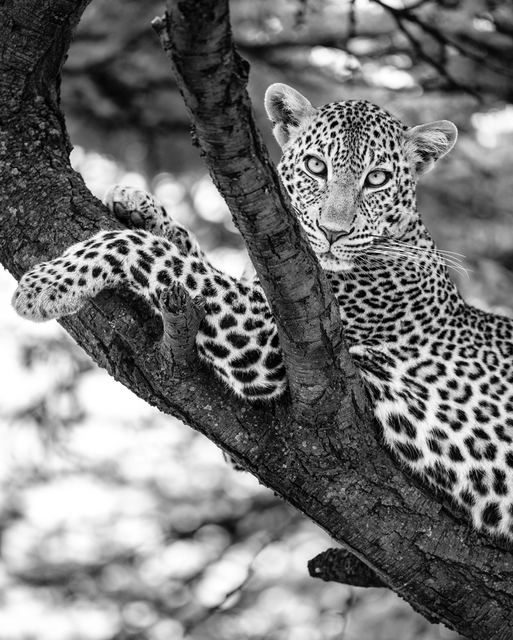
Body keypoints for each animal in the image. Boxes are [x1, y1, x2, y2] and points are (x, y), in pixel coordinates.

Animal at [12, 83, 513, 541]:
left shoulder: (265, 336)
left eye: (377, 179)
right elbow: (187, 252)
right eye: (316, 167)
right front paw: (136, 201)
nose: (332, 233)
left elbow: (151, 252)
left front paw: (46, 285)